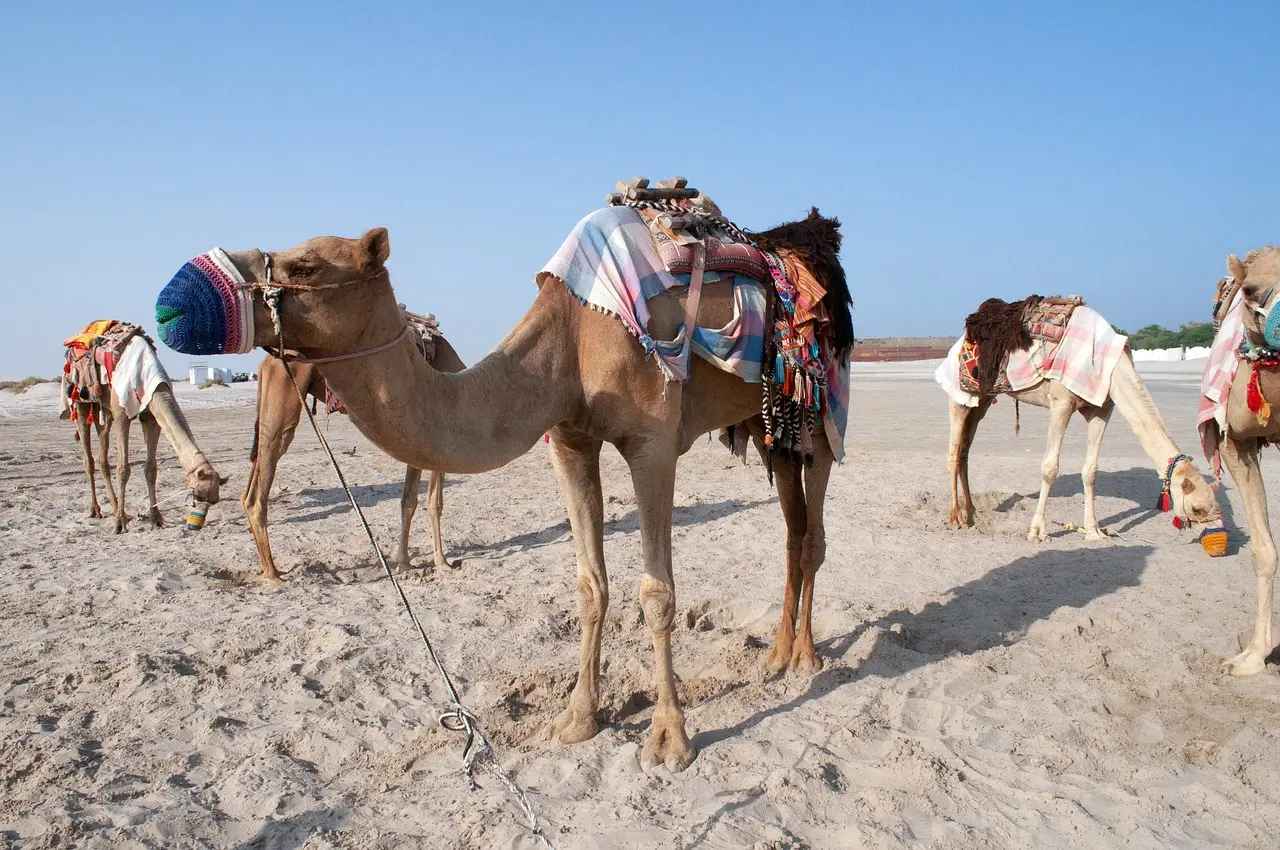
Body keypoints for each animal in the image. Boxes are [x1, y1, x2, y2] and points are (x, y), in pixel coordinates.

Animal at [61, 332, 227, 532]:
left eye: (214, 500)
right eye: (198, 496)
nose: (197, 525)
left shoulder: (151, 416)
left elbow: (151, 469)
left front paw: (156, 519)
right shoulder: (122, 413)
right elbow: (123, 469)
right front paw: (120, 524)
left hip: (104, 410)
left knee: (102, 453)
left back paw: (117, 508)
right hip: (81, 401)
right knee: (88, 458)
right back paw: (97, 510)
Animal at [241, 326, 468, 583]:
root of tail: (266, 362)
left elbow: (411, 501)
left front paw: (405, 563)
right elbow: (432, 503)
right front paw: (441, 562)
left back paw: (267, 568)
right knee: (262, 483)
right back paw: (273, 574)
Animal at [942, 295, 1218, 540]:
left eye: (1217, 506)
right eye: (1197, 509)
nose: (1214, 534)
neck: (1112, 364)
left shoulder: (1101, 409)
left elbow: (1090, 471)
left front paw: (1094, 532)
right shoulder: (1061, 402)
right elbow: (1050, 468)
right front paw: (1037, 532)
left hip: (982, 401)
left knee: (965, 451)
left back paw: (972, 513)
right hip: (960, 396)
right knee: (954, 453)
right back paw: (956, 518)